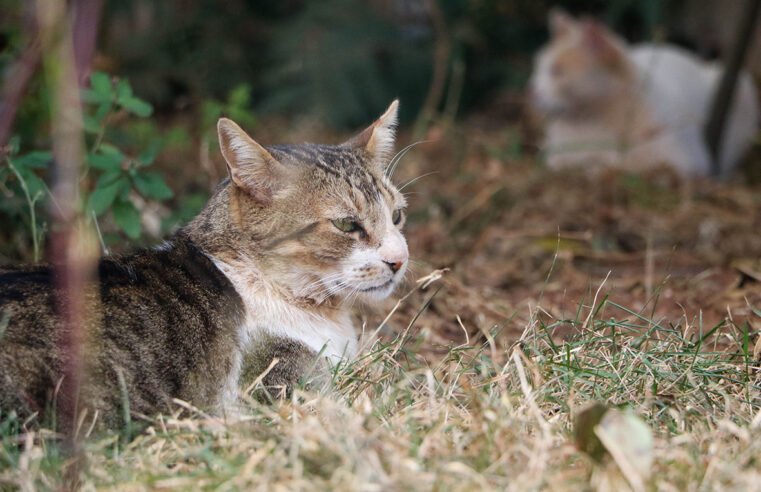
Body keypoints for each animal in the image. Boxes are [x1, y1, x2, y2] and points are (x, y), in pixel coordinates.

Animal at [532, 9, 756, 176]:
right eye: (538, 68)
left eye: (557, 71)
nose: (532, 90)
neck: (593, 120)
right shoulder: (554, 155)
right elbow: (562, 162)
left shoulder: (682, 159)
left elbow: (625, 162)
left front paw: (596, 164)